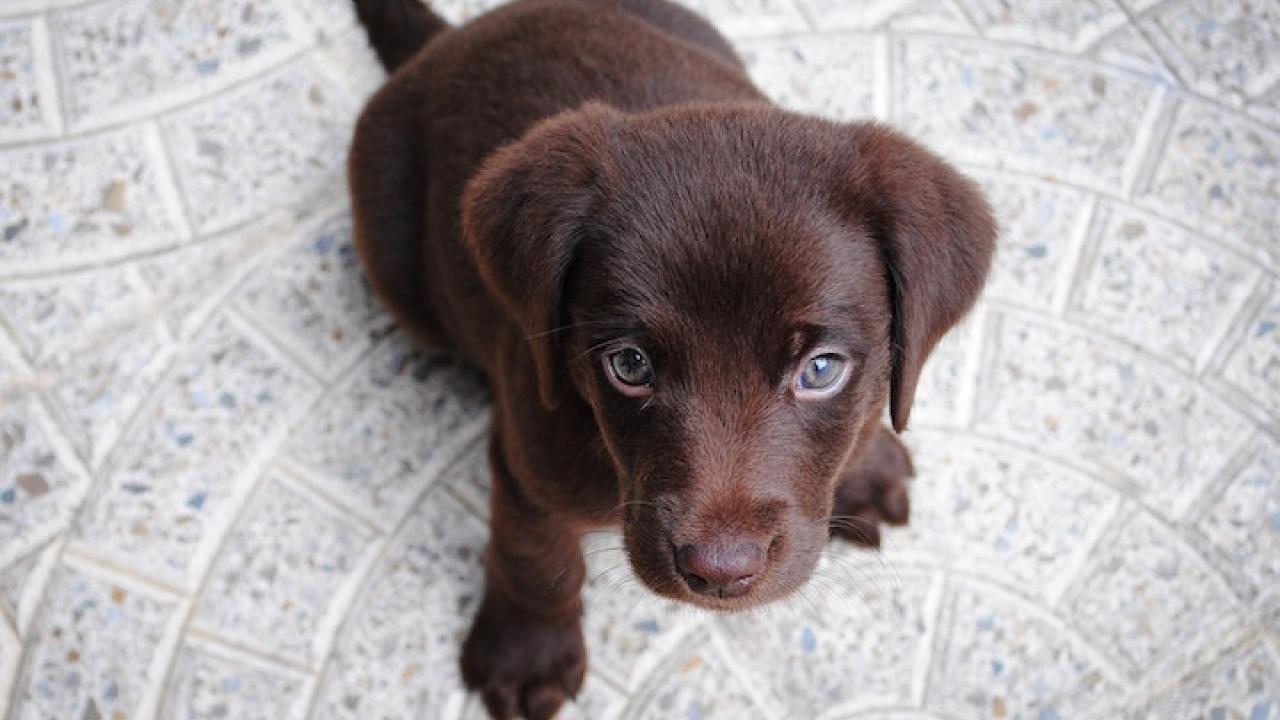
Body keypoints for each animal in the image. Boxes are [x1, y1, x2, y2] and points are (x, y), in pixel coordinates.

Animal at [350, 2, 998, 712]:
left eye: (821, 369)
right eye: (630, 365)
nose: (720, 572)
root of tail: (449, 39)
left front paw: (866, 461)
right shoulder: (528, 456)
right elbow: (536, 557)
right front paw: (527, 654)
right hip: (394, 261)